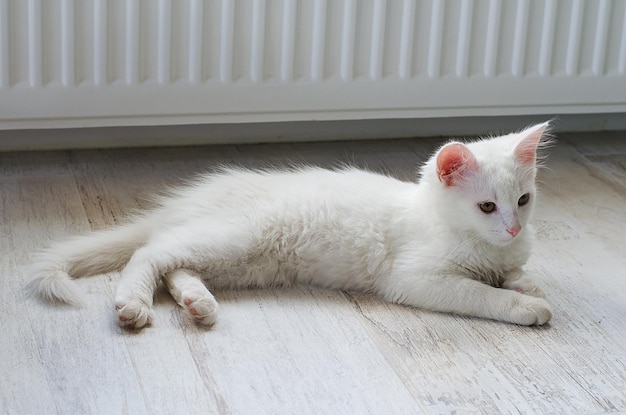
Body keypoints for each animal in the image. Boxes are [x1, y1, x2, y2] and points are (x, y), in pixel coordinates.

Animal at [26, 122, 552, 330]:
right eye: (487, 207)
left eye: (523, 201)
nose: (511, 228)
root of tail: (197, 196)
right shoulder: (416, 277)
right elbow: (478, 292)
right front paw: (525, 305)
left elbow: (513, 273)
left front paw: (524, 283)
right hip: (238, 237)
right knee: (150, 252)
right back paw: (133, 304)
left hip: (245, 261)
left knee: (174, 263)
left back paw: (198, 303)